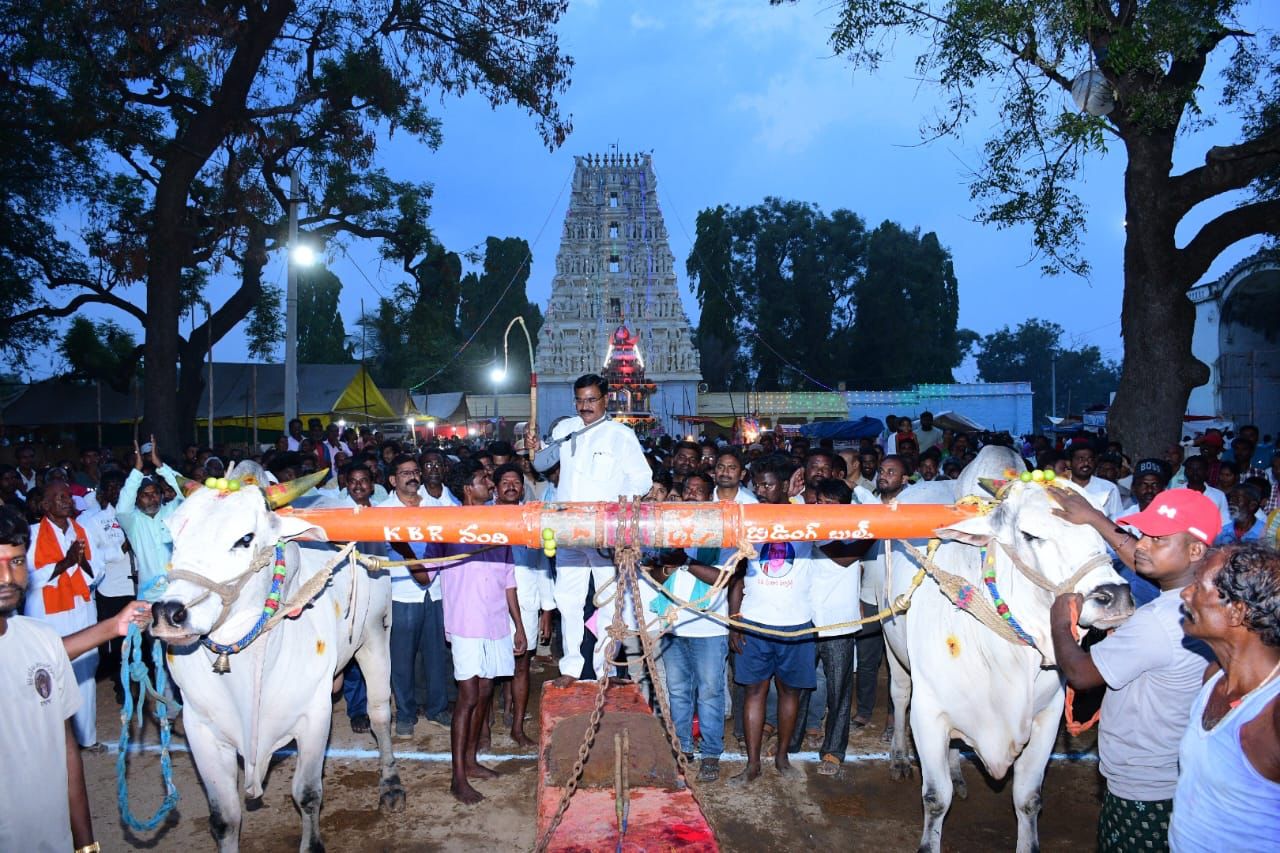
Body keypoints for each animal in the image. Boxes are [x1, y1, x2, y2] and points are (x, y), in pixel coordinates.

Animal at [151, 471, 399, 850]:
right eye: (175, 536)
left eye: (245, 539)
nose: (169, 614)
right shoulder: (201, 729)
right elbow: (224, 818)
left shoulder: (314, 717)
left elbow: (308, 794)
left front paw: (313, 844)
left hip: (374, 635)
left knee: (380, 714)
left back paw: (390, 783)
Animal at [880, 445, 1131, 850]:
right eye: (1029, 534)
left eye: (1106, 531)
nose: (1114, 597)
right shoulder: (929, 713)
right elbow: (935, 798)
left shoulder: (1047, 717)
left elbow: (1028, 799)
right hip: (892, 640)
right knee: (899, 694)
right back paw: (900, 758)